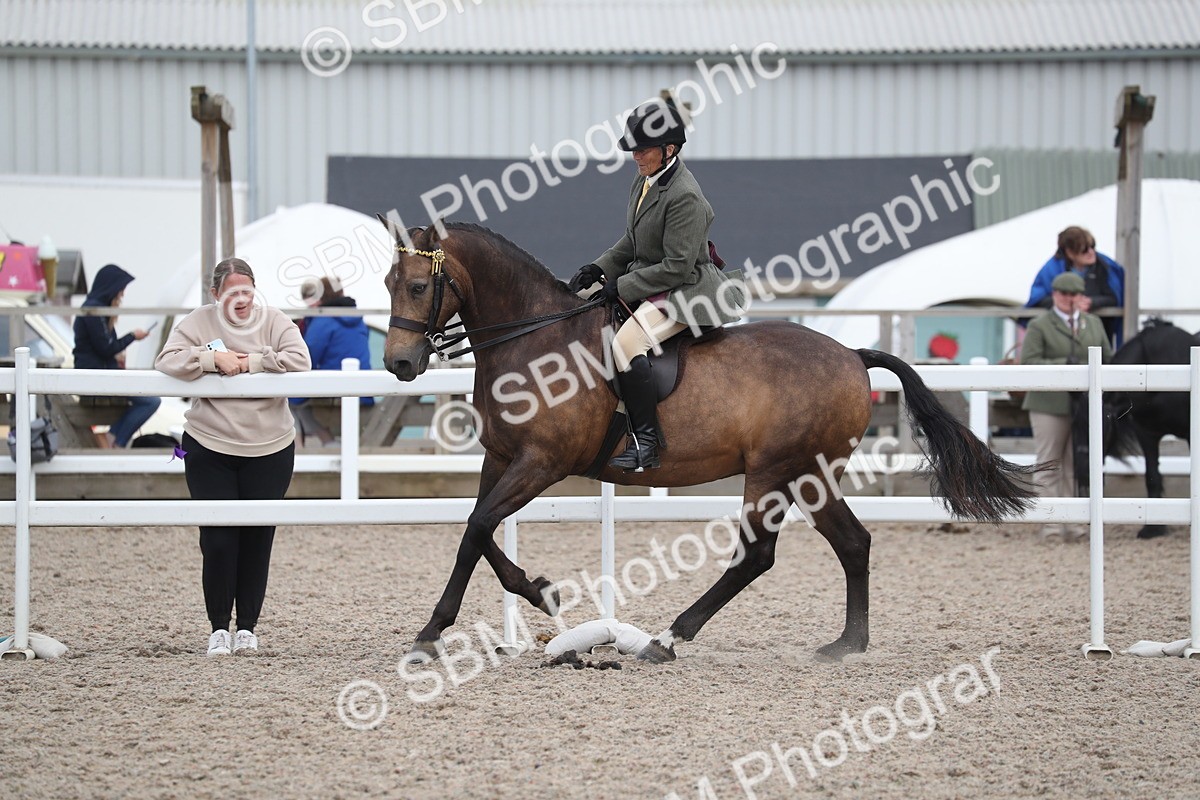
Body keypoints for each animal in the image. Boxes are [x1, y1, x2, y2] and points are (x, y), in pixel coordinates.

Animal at [380, 221, 1039, 664]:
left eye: (416, 287)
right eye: (389, 281)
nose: (399, 365)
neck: (533, 339)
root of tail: (852, 354)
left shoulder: (543, 462)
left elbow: (476, 528)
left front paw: (431, 634)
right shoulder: (503, 459)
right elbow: (478, 528)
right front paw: (539, 592)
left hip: (775, 471)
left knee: (757, 555)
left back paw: (670, 637)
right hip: (811, 475)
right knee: (853, 543)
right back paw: (847, 644)